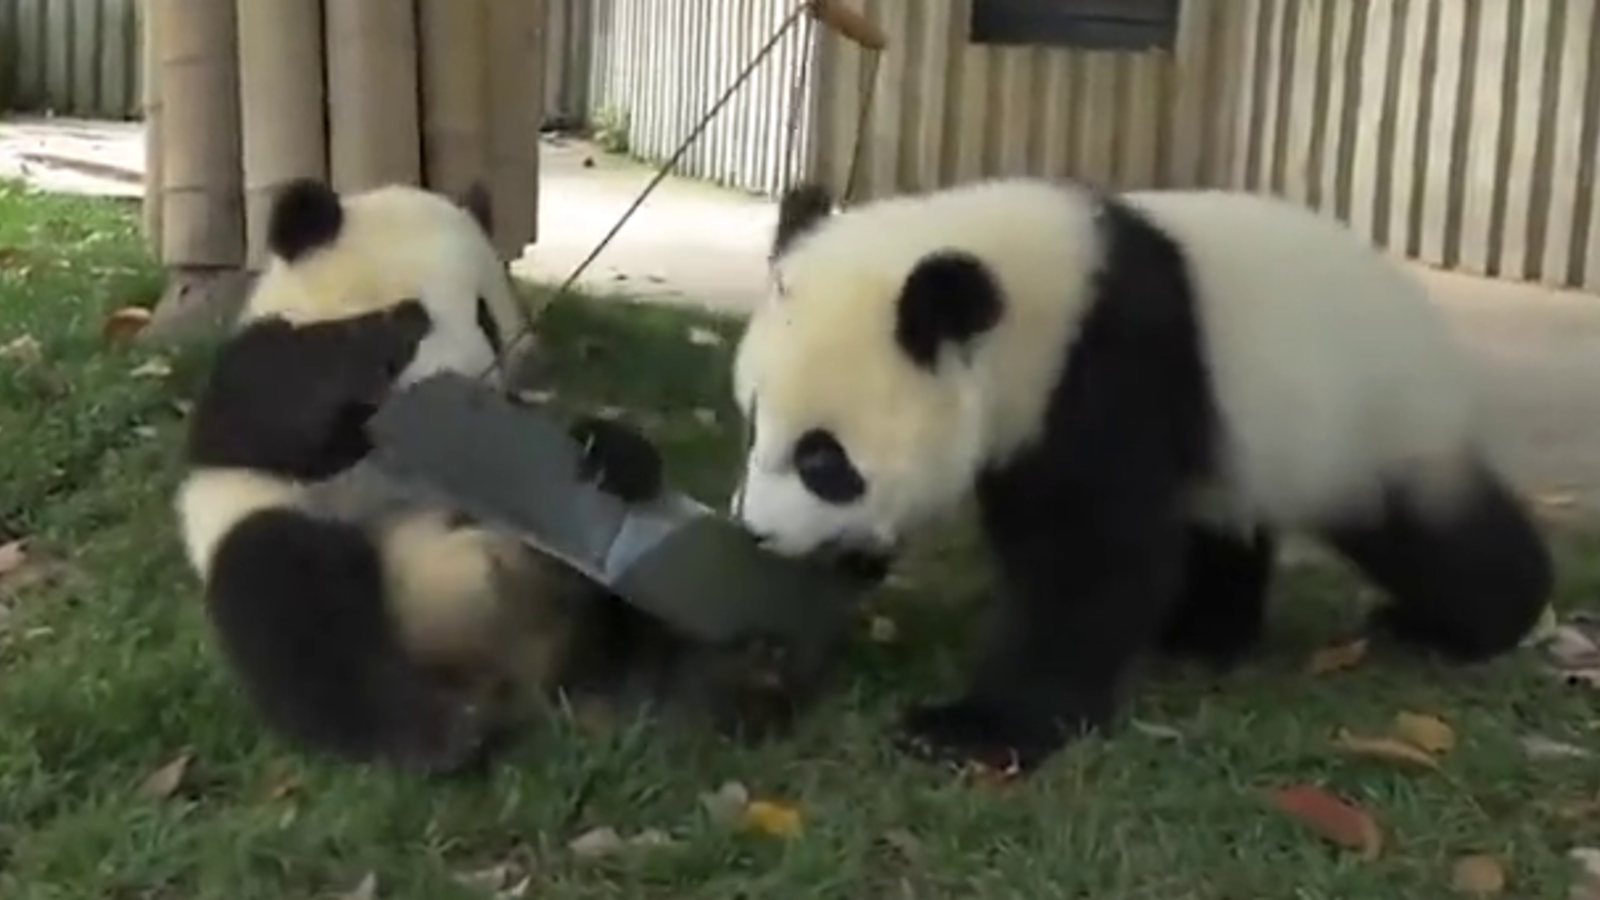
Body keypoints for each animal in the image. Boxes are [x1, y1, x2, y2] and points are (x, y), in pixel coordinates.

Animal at [175, 176, 755, 771]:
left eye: (486, 317)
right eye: (414, 316)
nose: (472, 381)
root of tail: (514, 673)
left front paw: (615, 454)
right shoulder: (260, 368)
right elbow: (259, 422)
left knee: (636, 609)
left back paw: (707, 689)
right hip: (301, 525)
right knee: (296, 600)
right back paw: (439, 735)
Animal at [732, 175, 1555, 771]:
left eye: (822, 460)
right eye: (752, 422)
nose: (755, 533)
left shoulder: (1106, 371)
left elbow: (1090, 555)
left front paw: (972, 728)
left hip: (1371, 420)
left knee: (1430, 535)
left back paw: (1466, 621)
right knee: (1222, 522)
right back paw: (1201, 635)